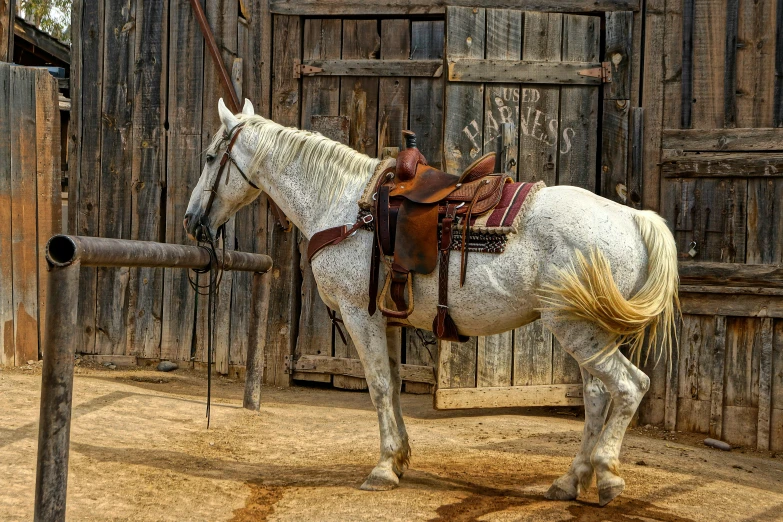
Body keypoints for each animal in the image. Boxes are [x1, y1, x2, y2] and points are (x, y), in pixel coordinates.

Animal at [185, 98, 680, 504]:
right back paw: (569, 481)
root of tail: (635, 218)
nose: (191, 220)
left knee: (629, 386)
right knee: (598, 396)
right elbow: (393, 385)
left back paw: (607, 475)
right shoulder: (385, 319)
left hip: (577, 328)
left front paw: (383, 468)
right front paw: (400, 458)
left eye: (210, 157)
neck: (345, 207)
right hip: (585, 331)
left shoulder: (358, 315)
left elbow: (378, 386)